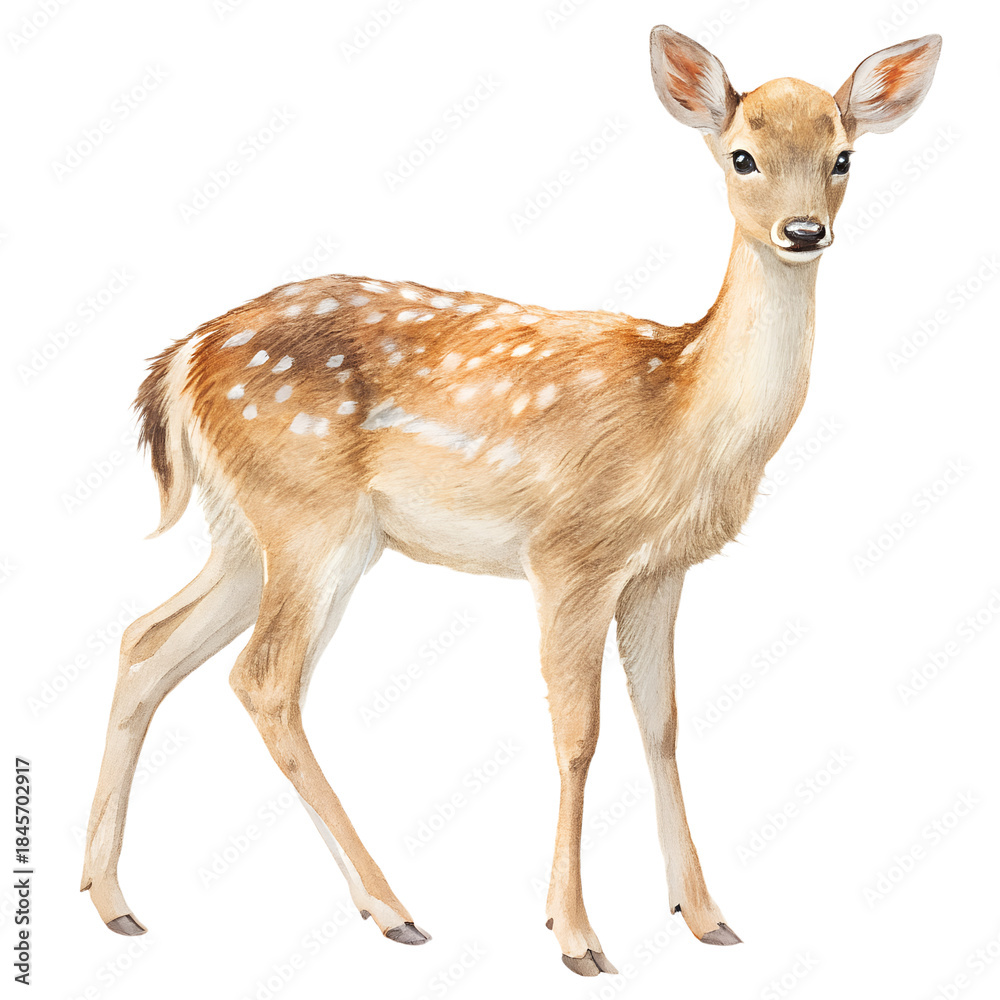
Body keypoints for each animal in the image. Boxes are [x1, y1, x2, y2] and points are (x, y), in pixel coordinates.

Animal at [81, 25, 941, 977]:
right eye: (742, 154)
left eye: (844, 156)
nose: (804, 230)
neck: (683, 411)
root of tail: (180, 360)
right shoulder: (569, 551)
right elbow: (579, 732)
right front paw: (577, 936)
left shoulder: (658, 572)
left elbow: (662, 722)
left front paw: (706, 915)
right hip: (308, 514)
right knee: (262, 678)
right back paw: (393, 909)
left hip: (246, 528)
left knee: (146, 640)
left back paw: (113, 903)